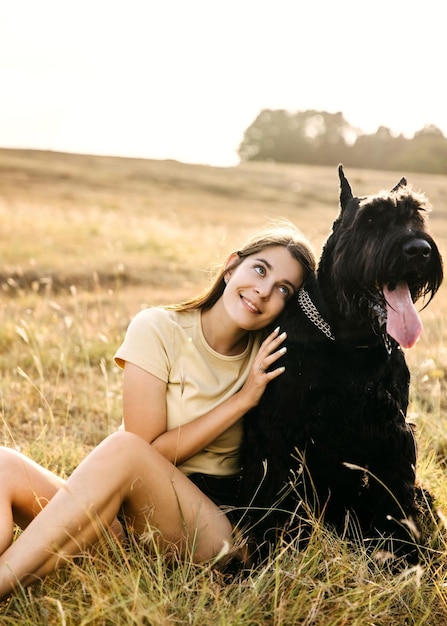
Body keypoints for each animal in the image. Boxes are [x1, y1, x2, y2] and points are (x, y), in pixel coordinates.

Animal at [238, 165, 444, 560]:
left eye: (416, 215)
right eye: (370, 220)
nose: (419, 250)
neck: (351, 343)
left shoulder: (393, 433)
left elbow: (396, 499)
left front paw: (404, 555)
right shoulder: (279, 435)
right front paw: (273, 551)